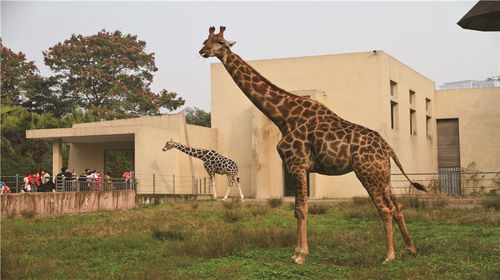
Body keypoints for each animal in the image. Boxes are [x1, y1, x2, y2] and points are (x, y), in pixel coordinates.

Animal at [199, 26, 426, 264]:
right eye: (206, 40)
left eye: (220, 43)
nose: (202, 51)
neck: (283, 117)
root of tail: (388, 147)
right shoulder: (298, 167)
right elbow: (297, 209)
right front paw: (296, 252)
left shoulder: (297, 164)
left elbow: (301, 209)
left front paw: (300, 255)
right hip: (383, 174)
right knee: (397, 206)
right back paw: (410, 249)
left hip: (367, 172)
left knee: (385, 209)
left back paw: (389, 256)